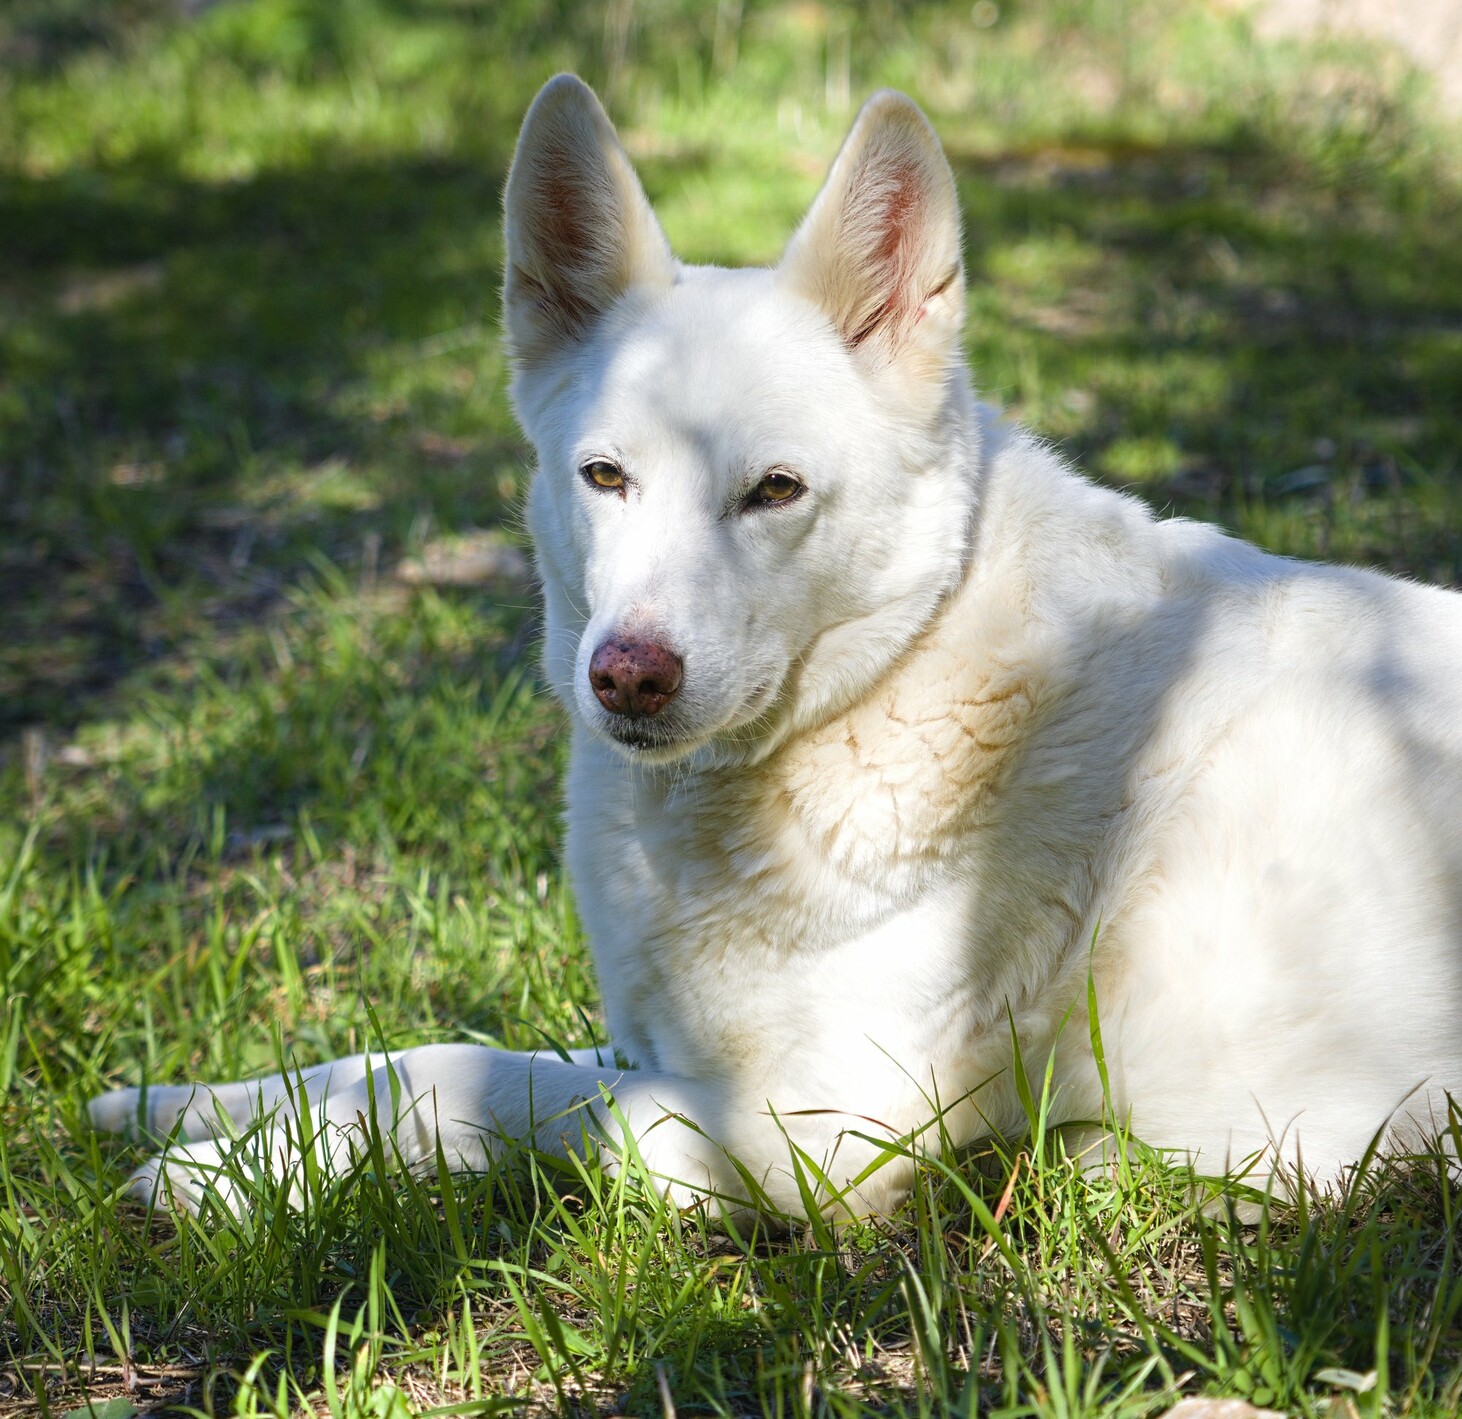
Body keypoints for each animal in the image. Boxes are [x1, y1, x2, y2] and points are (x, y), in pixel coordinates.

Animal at [88, 69, 1462, 1221]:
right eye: (605, 476)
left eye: (774, 491)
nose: (628, 676)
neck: (890, 685)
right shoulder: (675, 1055)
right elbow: (430, 1052)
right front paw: (191, 1103)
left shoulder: (806, 1133)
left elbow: (497, 1091)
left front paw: (233, 1175)